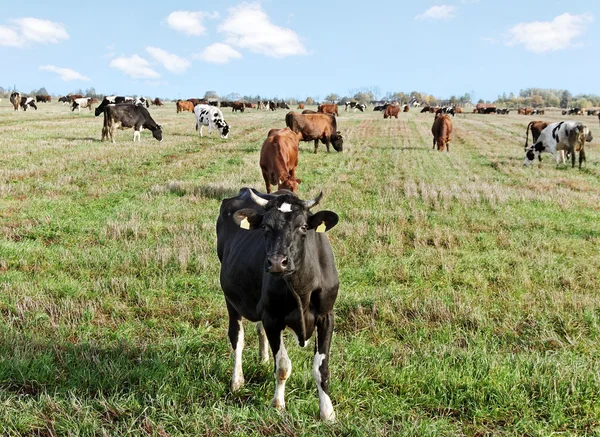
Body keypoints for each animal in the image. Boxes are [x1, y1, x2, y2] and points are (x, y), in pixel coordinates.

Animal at [217, 187, 340, 418]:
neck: (302, 289)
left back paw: (264, 359)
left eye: (303, 226)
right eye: (265, 226)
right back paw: (237, 381)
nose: (276, 262)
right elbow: (282, 366)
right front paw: (278, 404)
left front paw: (327, 413)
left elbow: (321, 368)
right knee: (237, 337)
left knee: (258, 330)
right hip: (231, 298)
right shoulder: (272, 318)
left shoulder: (326, 315)